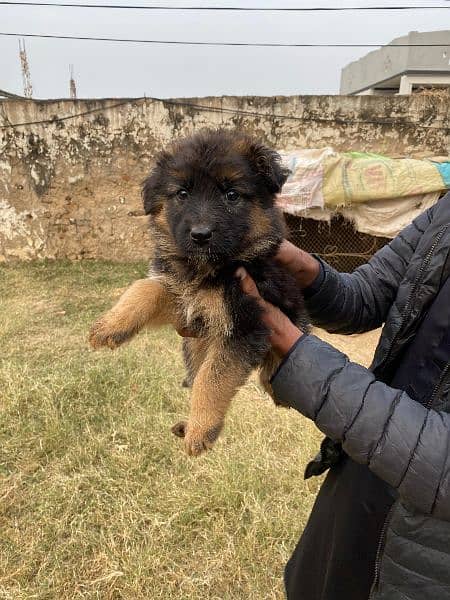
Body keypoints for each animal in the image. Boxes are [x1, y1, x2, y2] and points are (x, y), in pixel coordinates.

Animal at [91, 130, 310, 454]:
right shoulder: (184, 302)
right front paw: (111, 325)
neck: (207, 269)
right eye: (182, 194)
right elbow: (145, 287)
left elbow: (212, 377)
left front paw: (201, 429)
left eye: (231, 195)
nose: (200, 235)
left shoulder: (246, 326)